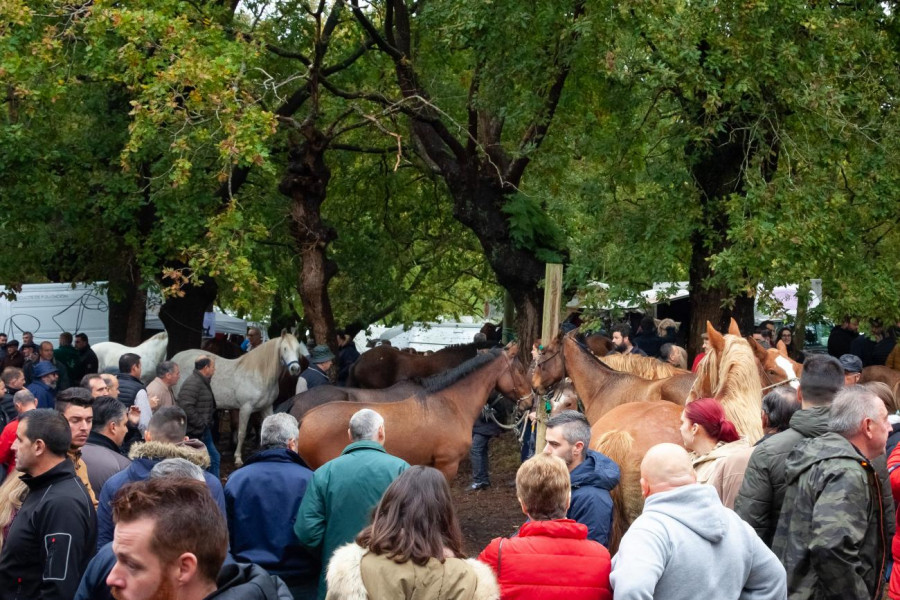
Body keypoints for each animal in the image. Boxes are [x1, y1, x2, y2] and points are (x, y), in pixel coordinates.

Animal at [171, 332, 304, 464]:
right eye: (285, 348)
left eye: (298, 349)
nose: (295, 369)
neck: (259, 375)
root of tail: (176, 358)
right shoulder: (246, 408)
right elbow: (242, 433)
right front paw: (238, 457)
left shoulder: (267, 407)